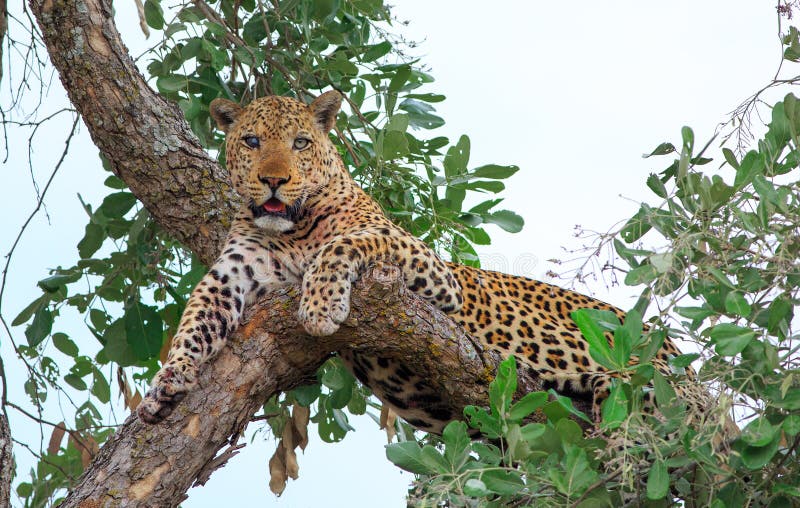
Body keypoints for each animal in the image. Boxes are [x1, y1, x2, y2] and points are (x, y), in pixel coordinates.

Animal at [134, 91, 692, 432]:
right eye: (251, 142)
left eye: (301, 143)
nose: (274, 180)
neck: (293, 230)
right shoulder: (232, 271)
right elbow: (195, 318)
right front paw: (168, 381)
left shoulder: (426, 265)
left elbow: (345, 245)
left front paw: (320, 306)